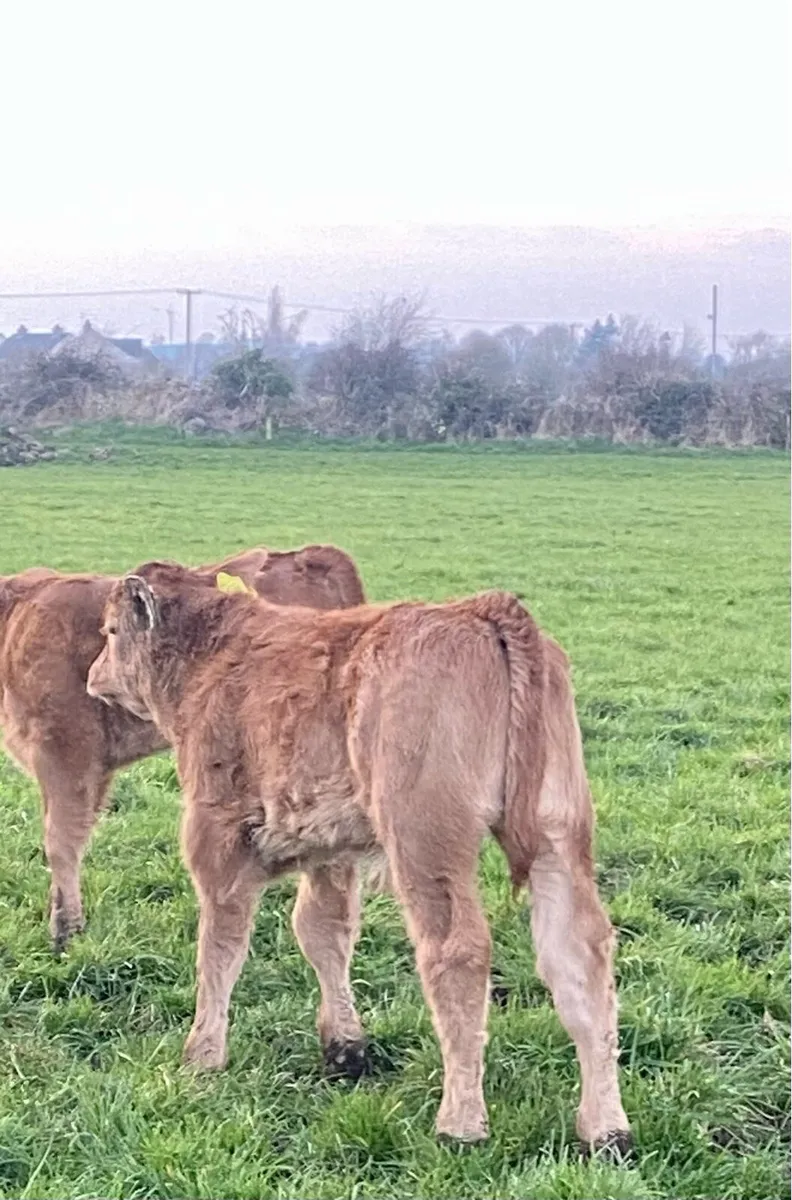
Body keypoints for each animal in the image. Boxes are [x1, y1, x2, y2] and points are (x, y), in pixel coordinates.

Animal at [86, 562, 631, 1154]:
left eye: (111, 631)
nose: (92, 677)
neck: (215, 655)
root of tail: (479, 610)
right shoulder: (332, 852)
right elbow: (324, 933)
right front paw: (345, 1048)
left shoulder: (216, 836)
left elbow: (220, 946)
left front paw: (202, 1055)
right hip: (559, 837)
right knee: (578, 954)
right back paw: (607, 1129)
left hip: (426, 842)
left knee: (457, 953)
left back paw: (461, 1123)